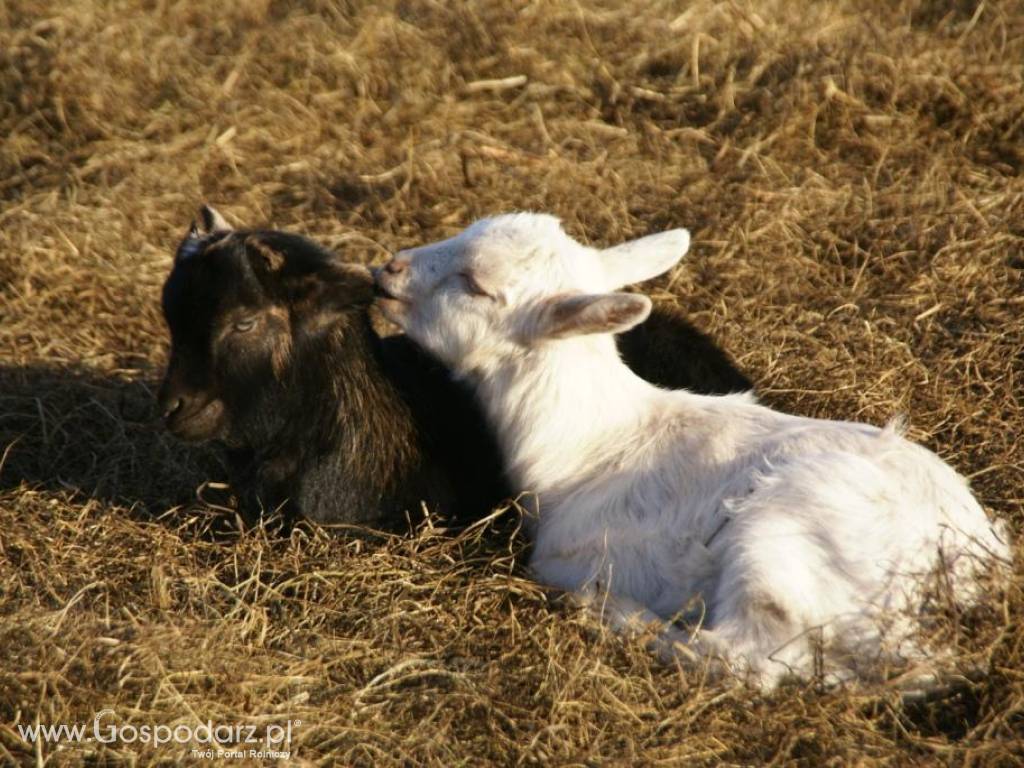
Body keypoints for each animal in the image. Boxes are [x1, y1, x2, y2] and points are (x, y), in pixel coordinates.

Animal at [374, 214, 1007, 688]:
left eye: (475, 284)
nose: (388, 267)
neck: (589, 446)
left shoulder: (572, 552)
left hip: (776, 546)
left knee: (744, 660)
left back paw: (611, 613)